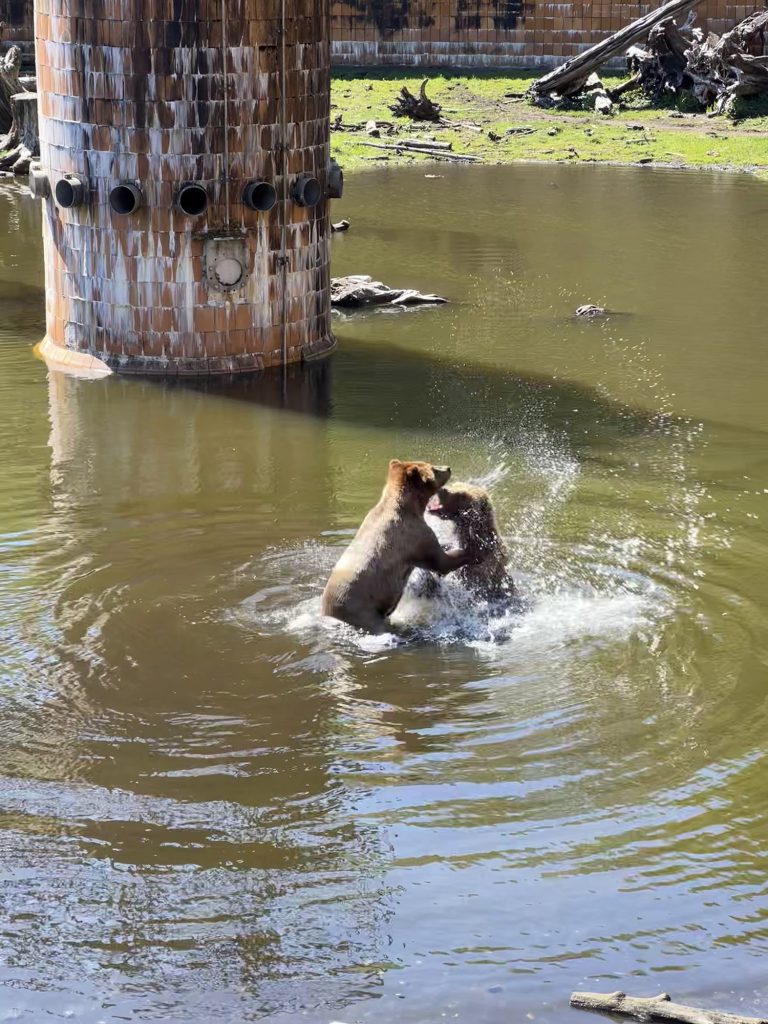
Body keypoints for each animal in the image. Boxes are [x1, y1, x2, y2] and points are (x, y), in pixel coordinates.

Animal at [319, 458, 475, 630]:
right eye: (433, 468)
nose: (448, 468)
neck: (410, 508)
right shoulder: (415, 536)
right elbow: (440, 561)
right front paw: (471, 552)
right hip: (362, 610)